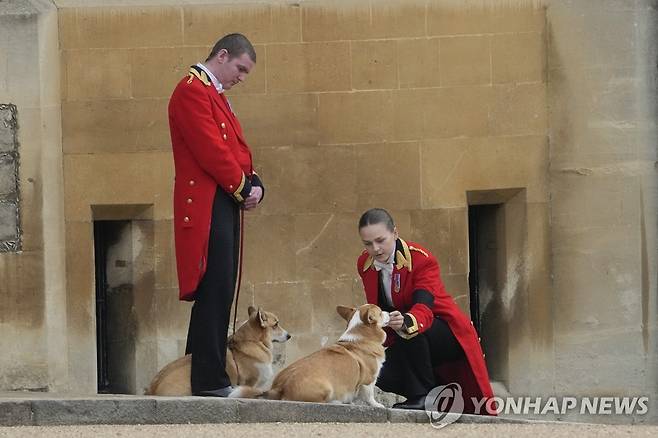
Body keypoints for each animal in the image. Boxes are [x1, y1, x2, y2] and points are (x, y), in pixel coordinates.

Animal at [231, 302, 386, 408]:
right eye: (380, 312)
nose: (389, 312)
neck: (362, 336)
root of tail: (279, 388)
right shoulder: (369, 379)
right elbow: (369, 395)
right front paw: (377, 405)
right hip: (326, 388)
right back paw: (337, 402)